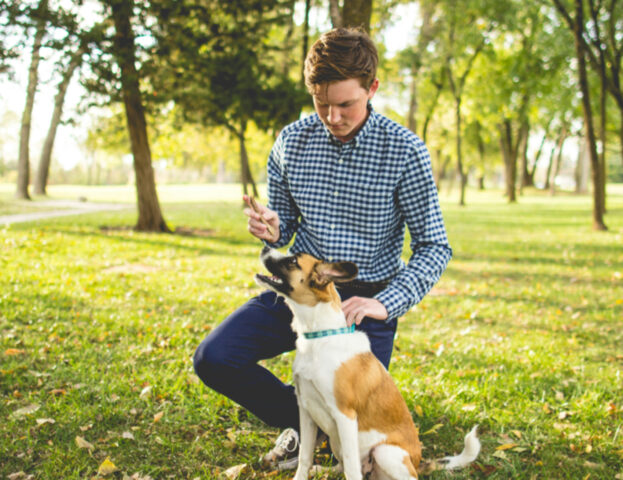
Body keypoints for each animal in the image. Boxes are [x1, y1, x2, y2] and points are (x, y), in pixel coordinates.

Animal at [256, 248, 480, 480]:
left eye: (293, 260)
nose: (264, 248)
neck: (320, 337)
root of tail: (417, 463)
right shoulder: (306, 410)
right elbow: (305, 458)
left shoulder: (345, 416)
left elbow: (352, 469)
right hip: (337, 441)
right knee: (341, 465)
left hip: (385, 452)